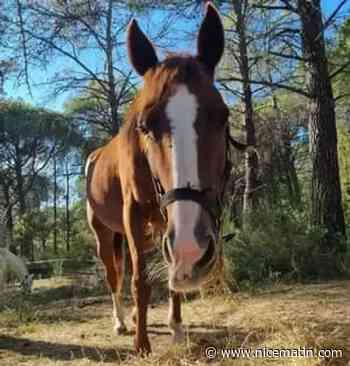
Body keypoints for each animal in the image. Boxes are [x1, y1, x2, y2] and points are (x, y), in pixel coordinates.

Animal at [87, 3, 234, 354]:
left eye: (223, 116)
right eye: (144, 125)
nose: (194, 251)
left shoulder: (166, 225)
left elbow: (169, 270)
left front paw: (177, 328)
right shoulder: (134, 215)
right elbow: (140, 281)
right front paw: (142, 344)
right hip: (104, 233)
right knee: (114, 275)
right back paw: (121, 321)